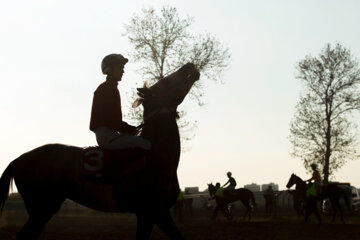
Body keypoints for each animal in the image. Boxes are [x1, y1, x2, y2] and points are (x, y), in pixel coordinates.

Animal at [0, 62, 200, 240]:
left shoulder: (152, 214)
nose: (189, 66)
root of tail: (18, 160)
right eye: (165, 82)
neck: (157, 156)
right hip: (42, 209)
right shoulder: (153, 212)